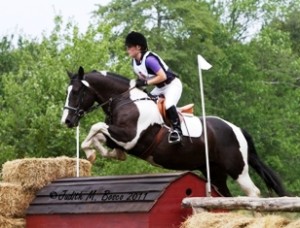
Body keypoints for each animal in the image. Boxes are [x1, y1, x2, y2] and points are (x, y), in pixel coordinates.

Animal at [59, 65, 288, 196]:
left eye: (77, 91)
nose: (67, 121)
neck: (126, 101)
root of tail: (236, 128)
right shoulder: (118, 137)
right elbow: (100, 137)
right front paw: (96, 152)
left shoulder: (131, 136)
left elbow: (96, 127)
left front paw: (90, 152)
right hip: (213, 172)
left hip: (236, 168)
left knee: (253, 192)